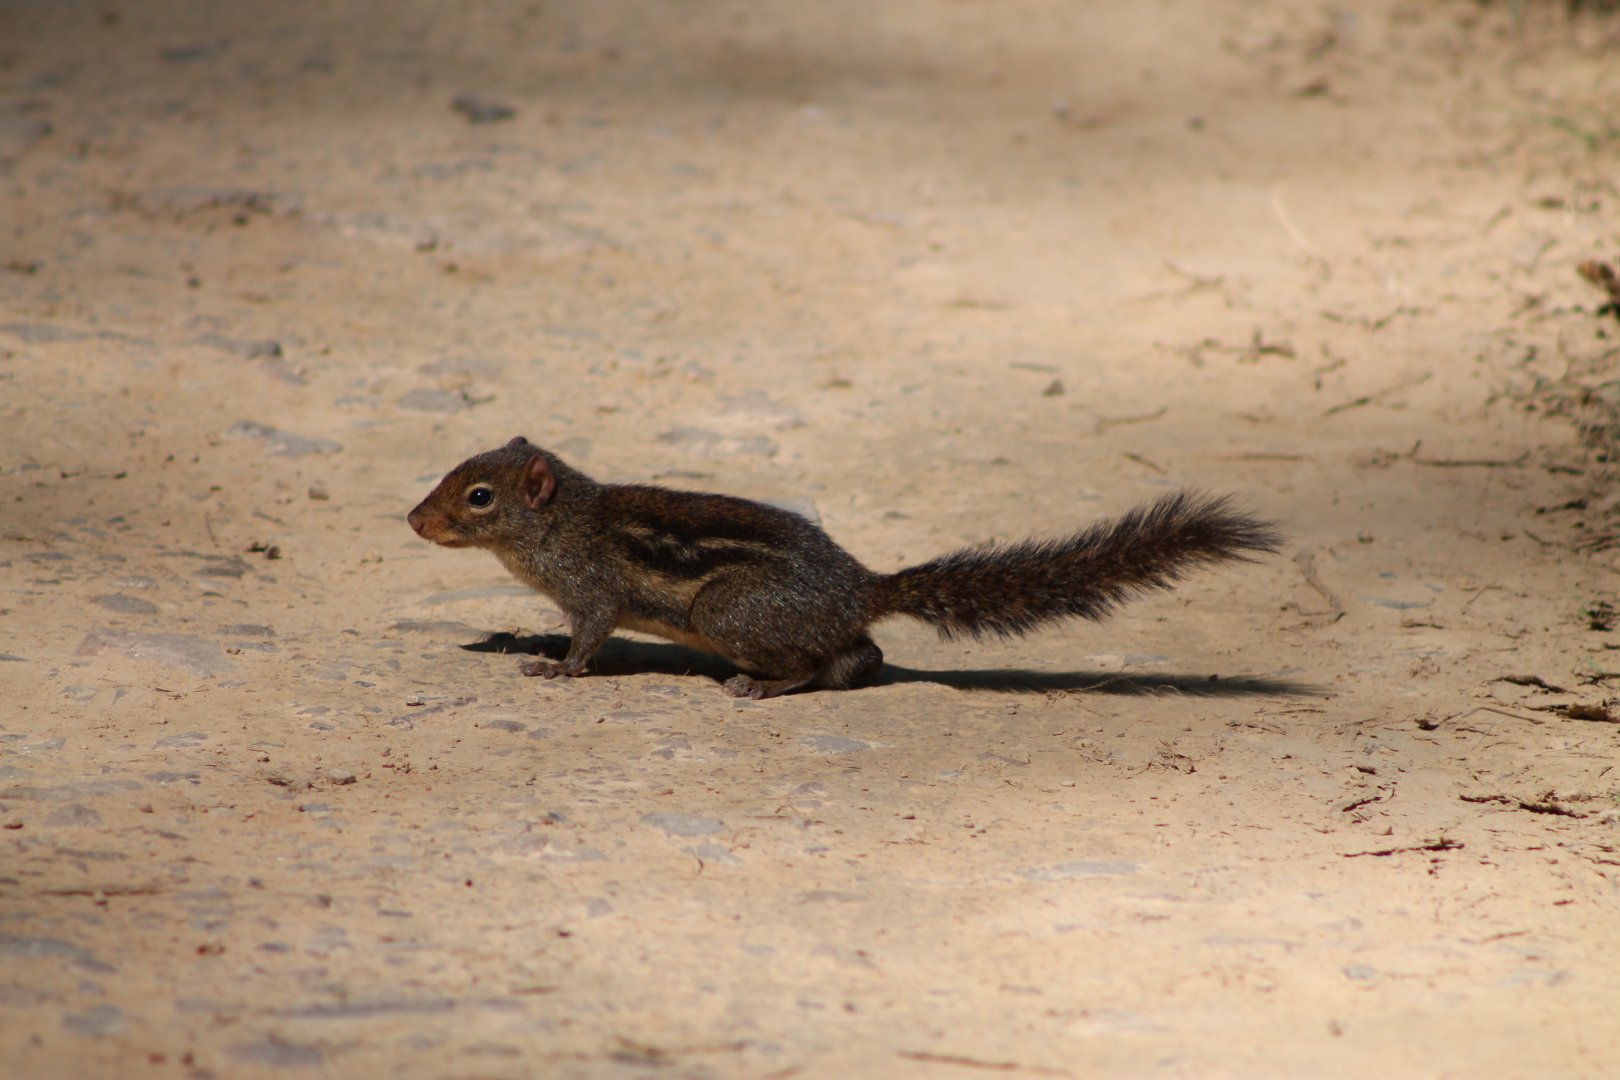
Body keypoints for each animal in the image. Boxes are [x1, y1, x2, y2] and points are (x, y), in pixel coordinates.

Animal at [407, 436, 1281, 699]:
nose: (414, 519)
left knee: (814, 663)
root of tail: (862, 587)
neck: (563, 523)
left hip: (724, 612)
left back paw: (759, 687)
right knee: (863, 656)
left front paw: (555, 669)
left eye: (478, 497)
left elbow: (588, 637)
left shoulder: (592, 592)